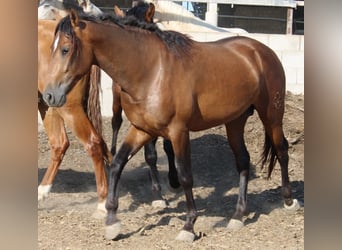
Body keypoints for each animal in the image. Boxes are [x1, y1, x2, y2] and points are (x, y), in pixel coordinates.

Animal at [43, 12, 300, 242]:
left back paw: (289, 200)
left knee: (282, 150)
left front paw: (188, 226)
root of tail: (261, 51)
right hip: (234, 121)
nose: (49, 95)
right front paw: (112, 222)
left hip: (272, 116)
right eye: (52, 49)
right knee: (243, 161)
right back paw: (238, 215)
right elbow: (117, 165)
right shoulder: (142, 130)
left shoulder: (178, 133)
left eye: (65, 49)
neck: (151, 71)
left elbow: (185, 176)